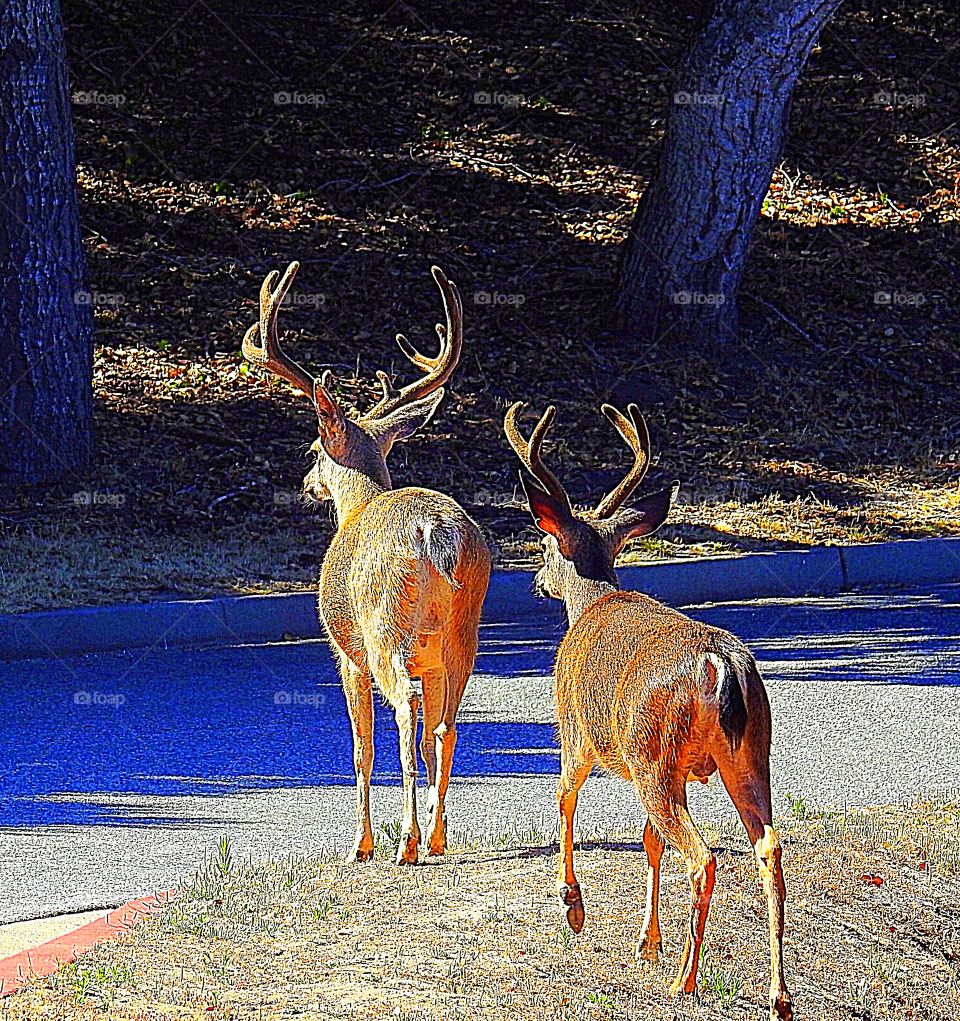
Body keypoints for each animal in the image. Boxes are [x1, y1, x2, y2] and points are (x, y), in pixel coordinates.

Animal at [243, 261, 491, 866]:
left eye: (313, 448)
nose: (306, 480)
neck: (356, 505)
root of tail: (437, 534)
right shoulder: (431, 659)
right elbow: (428, 739)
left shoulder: (344, 653)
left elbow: (361, 748)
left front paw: (361, 843)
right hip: (463, 629)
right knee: (445, 726)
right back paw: (436, 837)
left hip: (383, 627)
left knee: (404, 711)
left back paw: (406, 843)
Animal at [504, 401, 792, 1021]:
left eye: (545, 545)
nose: (536, 581)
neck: (591, 602)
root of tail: (720, 664)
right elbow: (648, 840)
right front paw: (646, 942)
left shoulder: (578, 734)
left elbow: (563, 799)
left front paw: (572, 906)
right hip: (747, 755)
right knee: (770, 850)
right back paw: (778, 994)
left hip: (654, 758)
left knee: (703, 858)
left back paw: (687, 979)